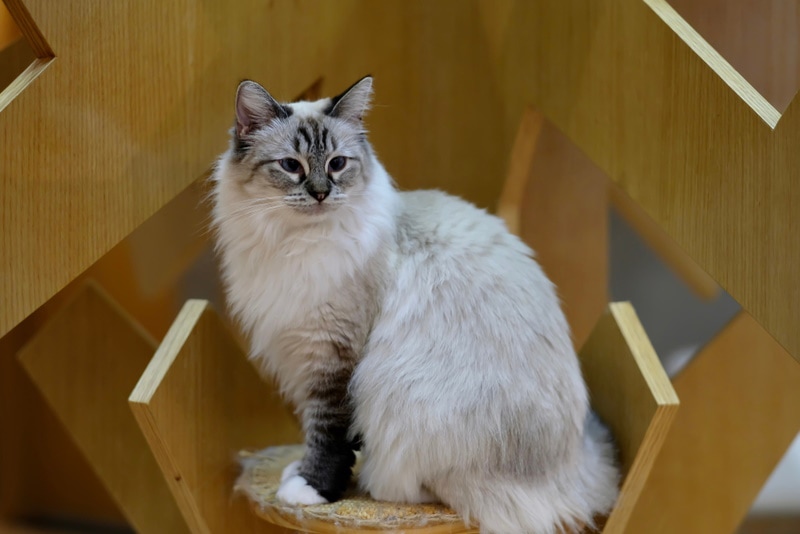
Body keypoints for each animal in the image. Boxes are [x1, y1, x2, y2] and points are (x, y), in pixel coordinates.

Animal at [211, 76, 620, 534]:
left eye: (337, 164)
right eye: (290, 166)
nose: (320, 193)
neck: (293, 243)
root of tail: (574, 470)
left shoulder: (332, 356)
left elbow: (327, 433)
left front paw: (312, 488)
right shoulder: (305, 354)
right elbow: (314, 431)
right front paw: (300, 472)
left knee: (421, 488)